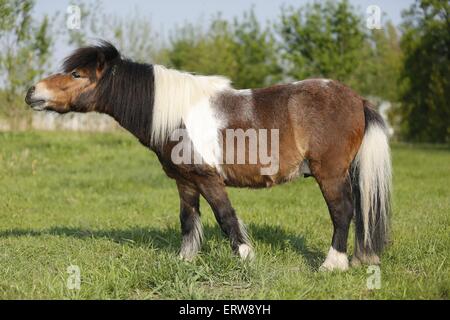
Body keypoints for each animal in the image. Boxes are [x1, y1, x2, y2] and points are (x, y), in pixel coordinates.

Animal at [24, 40, 392, 270]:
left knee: (342, 212)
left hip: (329, 173)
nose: (31, 92)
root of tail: (357, 99)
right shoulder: (185, 182)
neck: (173, 115)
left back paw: (333, 264)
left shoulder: (208, 178)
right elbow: (188, 221)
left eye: (77, 74)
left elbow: (226, 217)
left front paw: (246, 258)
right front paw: (185, 262)